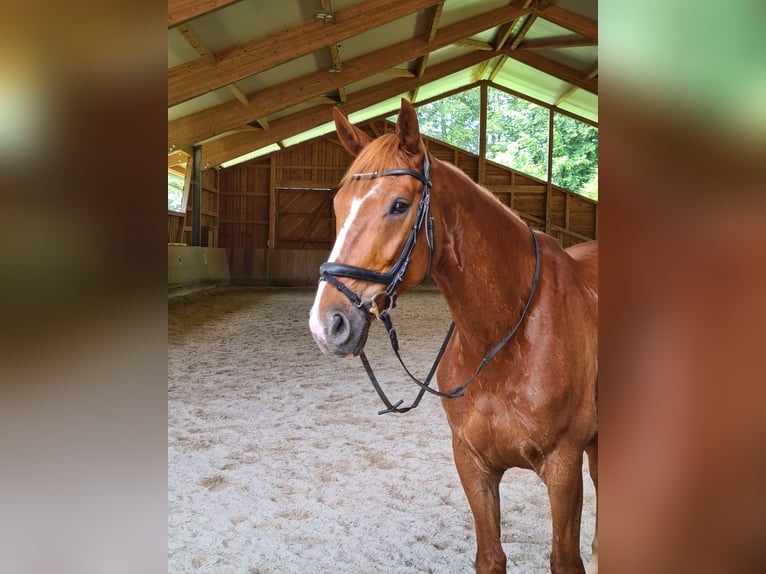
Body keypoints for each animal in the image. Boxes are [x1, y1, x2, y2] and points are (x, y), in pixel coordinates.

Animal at [308, 101, 596, 572]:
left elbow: (565, 559)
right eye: (337, 205)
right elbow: (491, 557)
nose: (326, 325)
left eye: (399, 205)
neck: (502, 339)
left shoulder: (563, 469)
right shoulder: (472, 464)